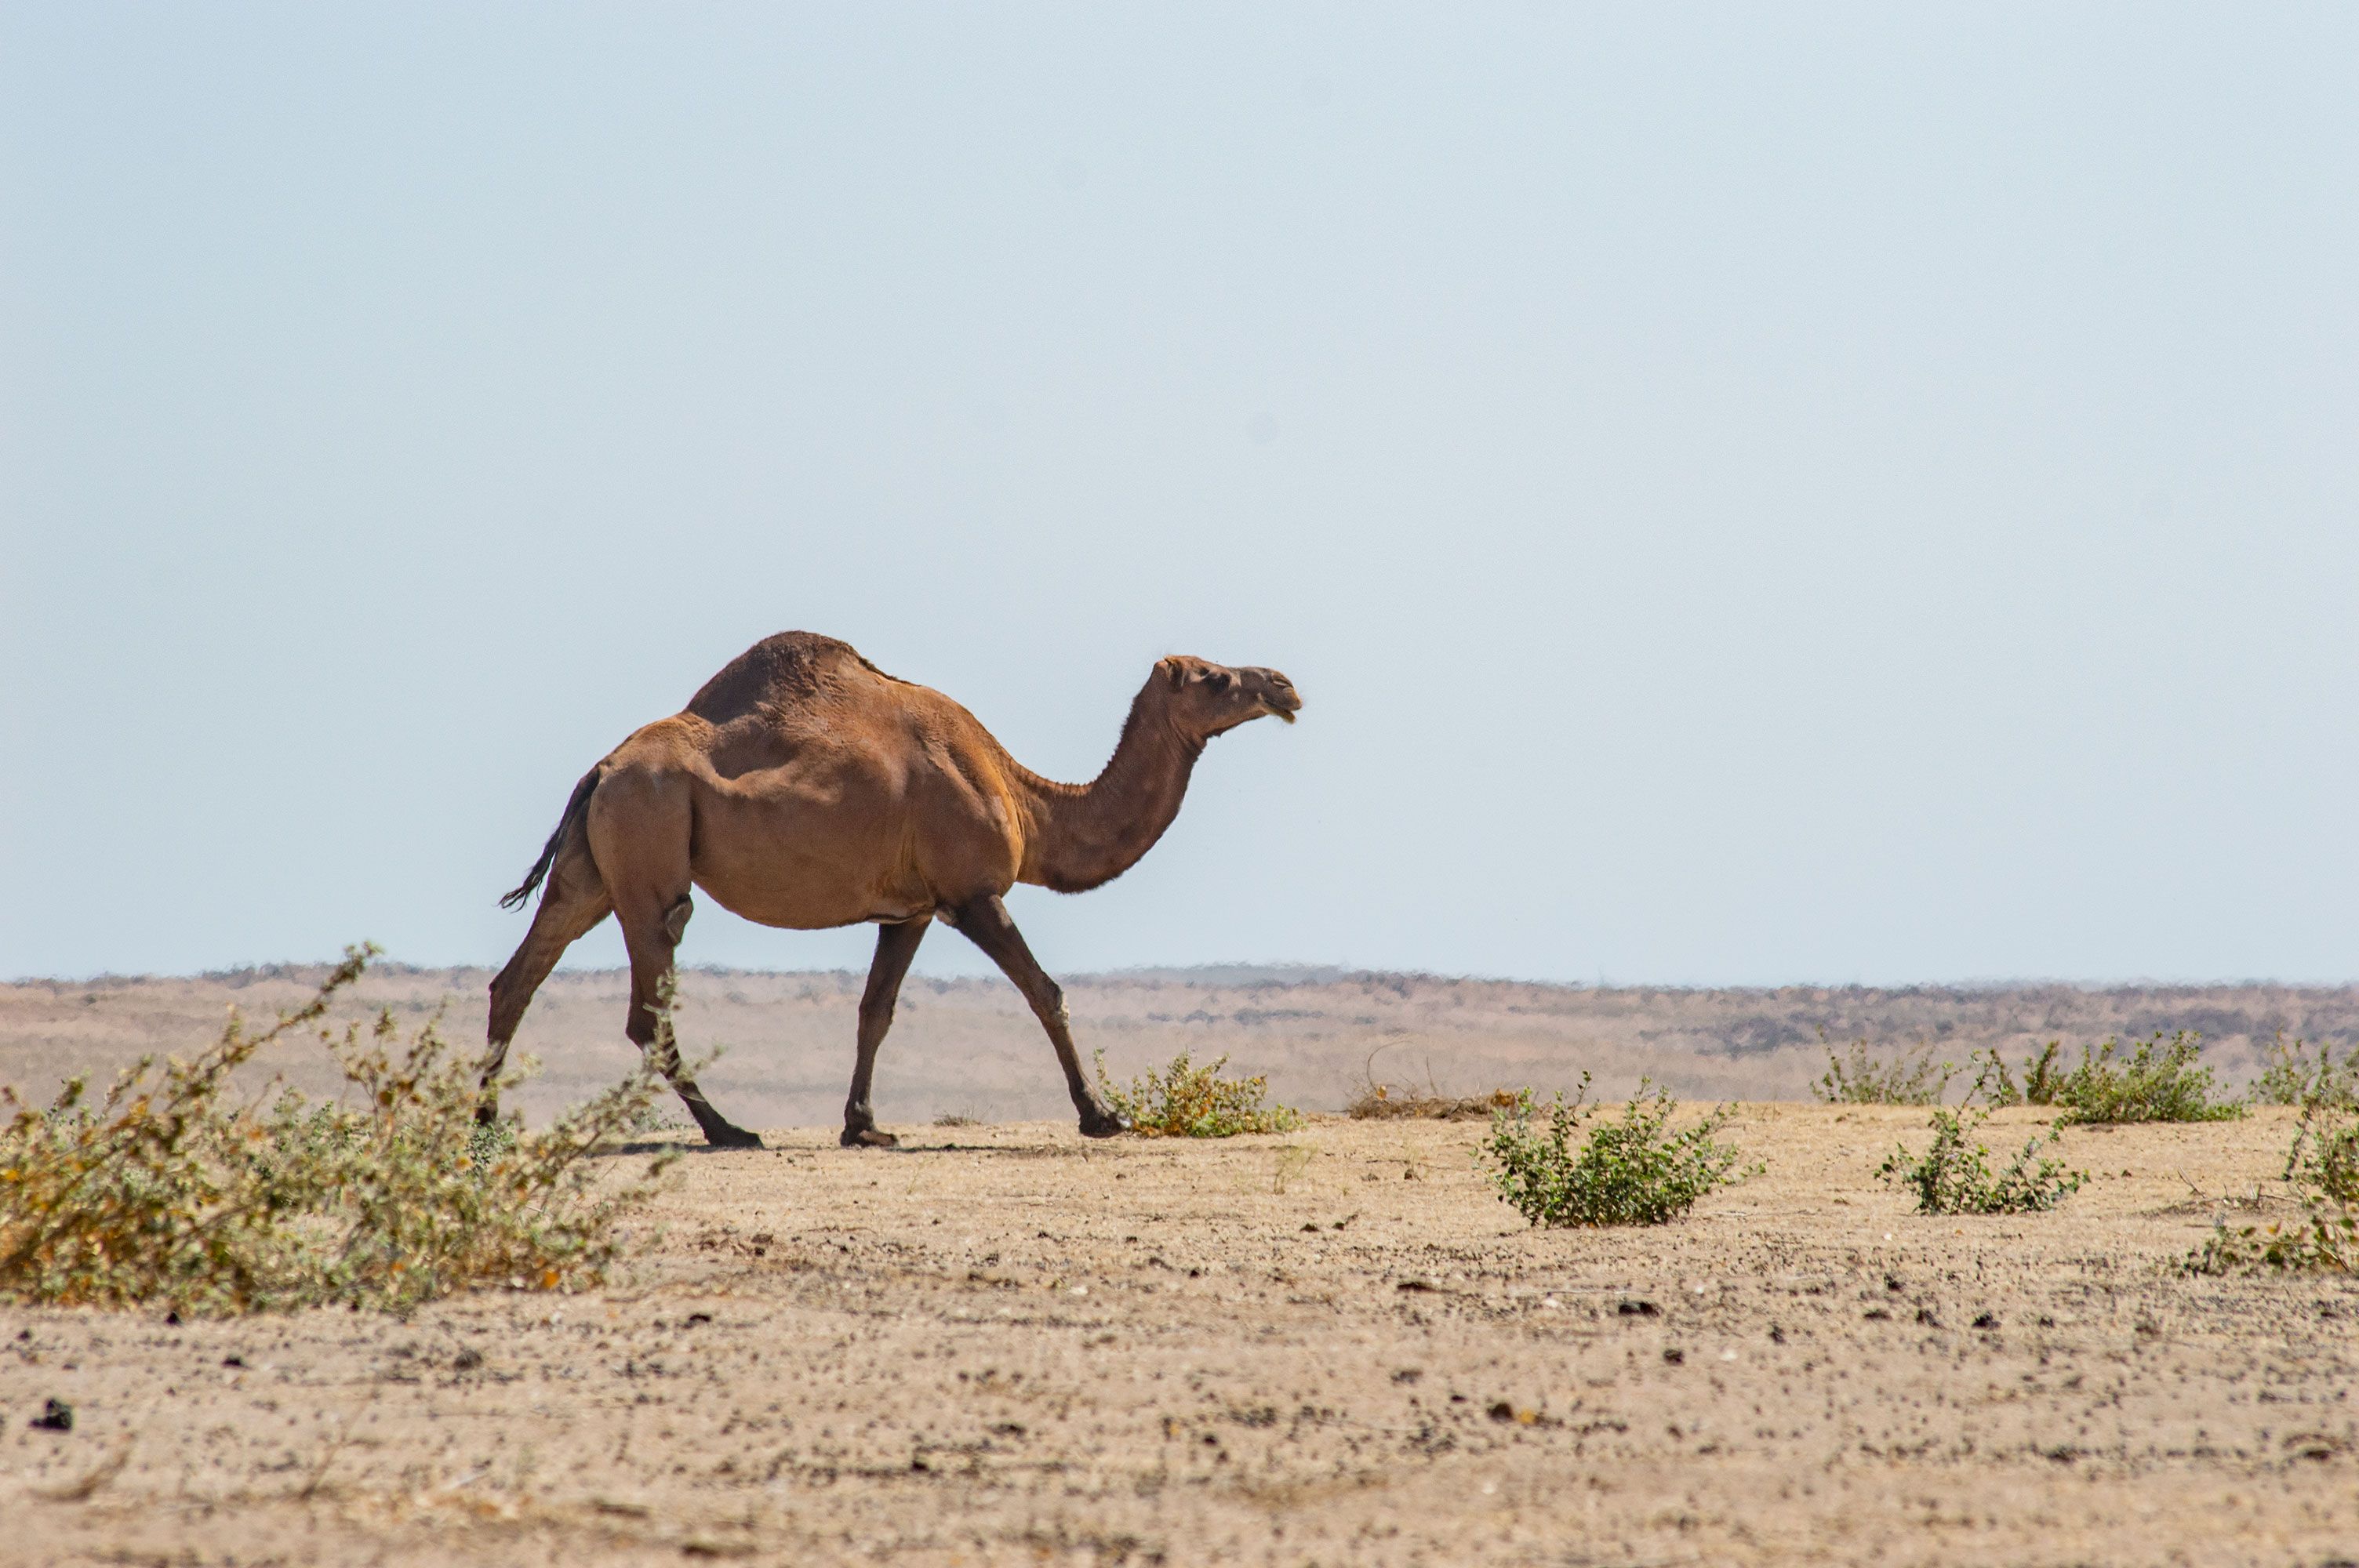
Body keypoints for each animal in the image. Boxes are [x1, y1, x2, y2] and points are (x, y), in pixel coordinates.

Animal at [480, 632, 1302, 1148]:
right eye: (1214, 676)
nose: (1284, 684)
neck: (1025, 801)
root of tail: (602, 768)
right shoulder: (973, 894)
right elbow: (1047, 994)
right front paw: (1102, 1116)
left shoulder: (911, 911)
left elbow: (875, 1012)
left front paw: (864, 1125)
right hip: (649, 850)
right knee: (647, 1002)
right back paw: (729, 1130)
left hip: (594, 869)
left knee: (518, 976)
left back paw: (484, 1127)